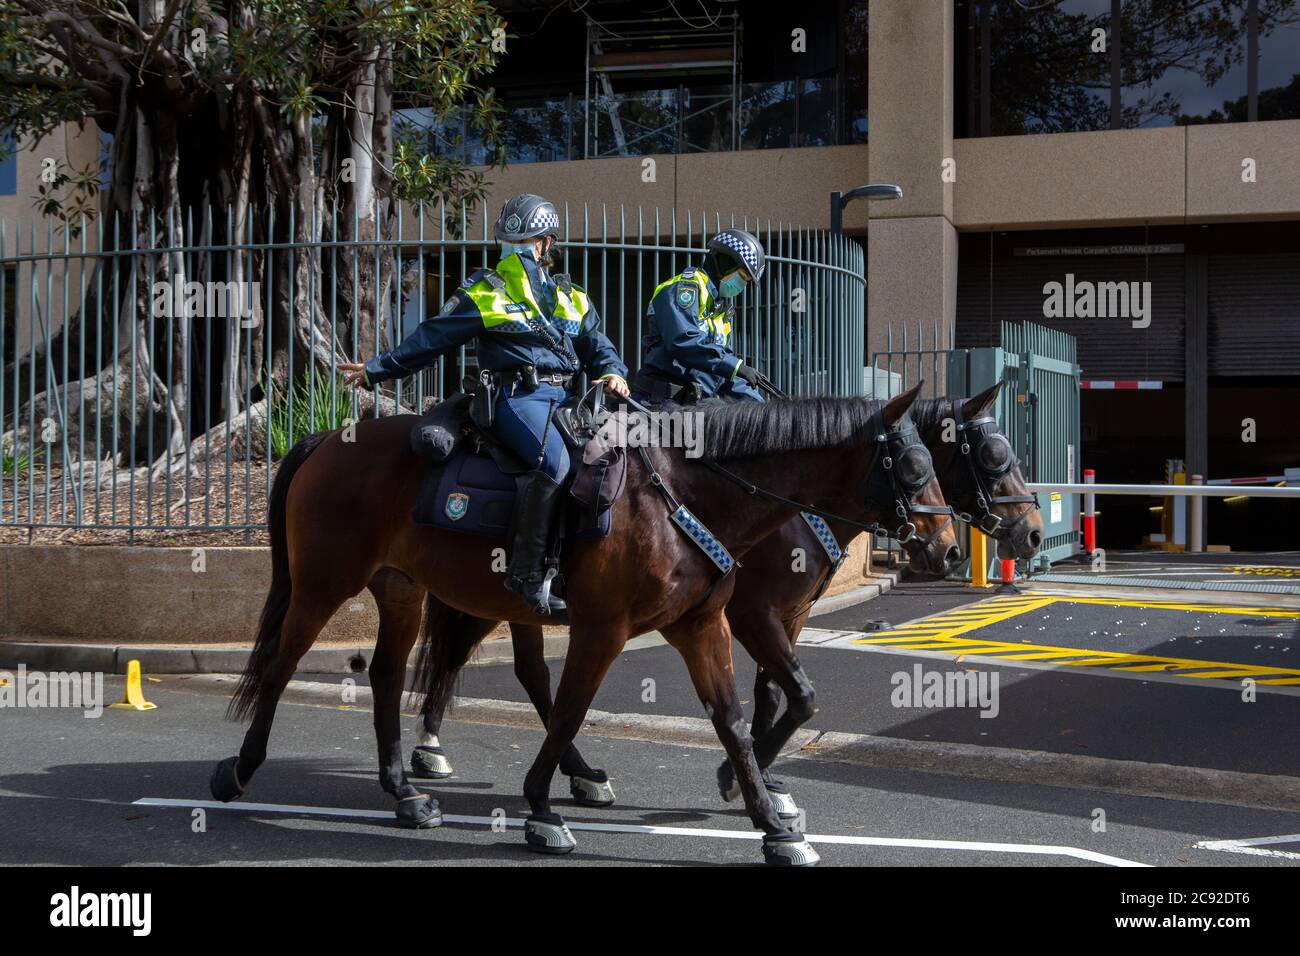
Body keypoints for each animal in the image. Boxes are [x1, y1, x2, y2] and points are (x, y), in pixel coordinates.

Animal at [213, 385, 961, 863]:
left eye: (937, 461)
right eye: (913, 465)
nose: (949, 548)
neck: (684, 494)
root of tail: (326, 437)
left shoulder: (703, 626)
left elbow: (732, 719)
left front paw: (770, 822)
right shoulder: (606, 629)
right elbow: (573, 706)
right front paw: (542, 811)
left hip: (402, 592)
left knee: (389, 677)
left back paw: (404, 794)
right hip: (324, 584)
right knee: (281, 663)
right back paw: (240, 771)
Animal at [410, 385, 1040, 816]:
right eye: (991, 455)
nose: (1032, 533)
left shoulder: (786, 615)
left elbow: (774, 695)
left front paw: (759, 771)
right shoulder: (753, 614)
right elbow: (798, 695)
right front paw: (742, 775)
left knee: (528, 673)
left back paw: (567, 770)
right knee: (471, 654)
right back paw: (433, 747)